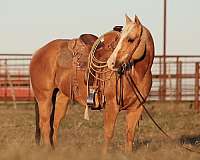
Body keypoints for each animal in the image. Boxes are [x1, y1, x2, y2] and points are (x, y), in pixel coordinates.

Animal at [30, 14, 155, 153]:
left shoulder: (136, 109)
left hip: (61, 97)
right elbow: (108, 133)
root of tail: (38, 52)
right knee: (45, 125)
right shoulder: (112, 105)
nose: (111, 62)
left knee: (55, 124)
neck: (137, 74)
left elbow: (129, 136)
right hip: (44, 98)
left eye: (131, 39)